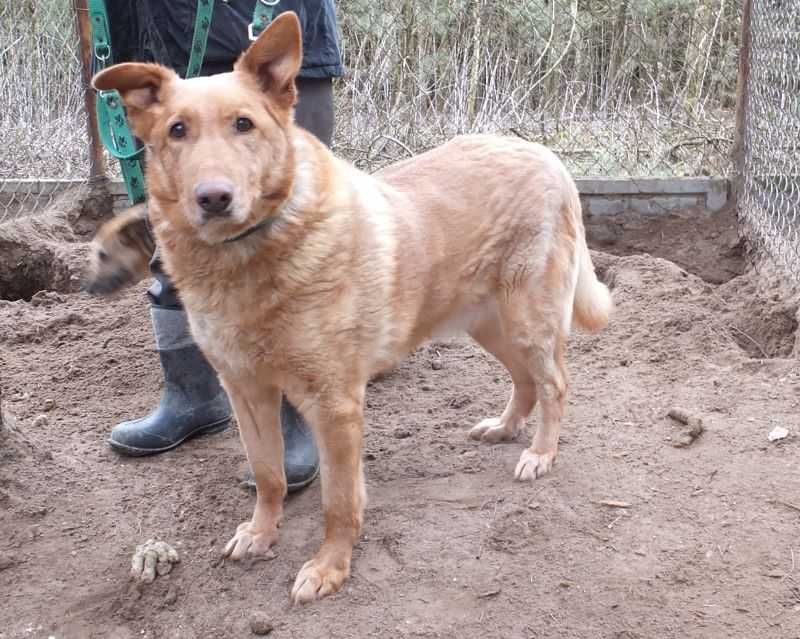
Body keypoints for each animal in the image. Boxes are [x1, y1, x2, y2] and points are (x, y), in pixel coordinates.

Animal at [91, 11, 612, 604]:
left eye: (244, 124)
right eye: (177, 131)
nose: (214, 198)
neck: (248, 258)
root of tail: (546, 155)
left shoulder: (335, 404)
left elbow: (338, 501)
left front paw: (330, 568)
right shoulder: (246, 391)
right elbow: (268, 474)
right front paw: (261, 534)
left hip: (528, 318)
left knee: (554, 383)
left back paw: (541, 453)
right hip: (485, 322)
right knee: (524, 380)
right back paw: (503, 428)